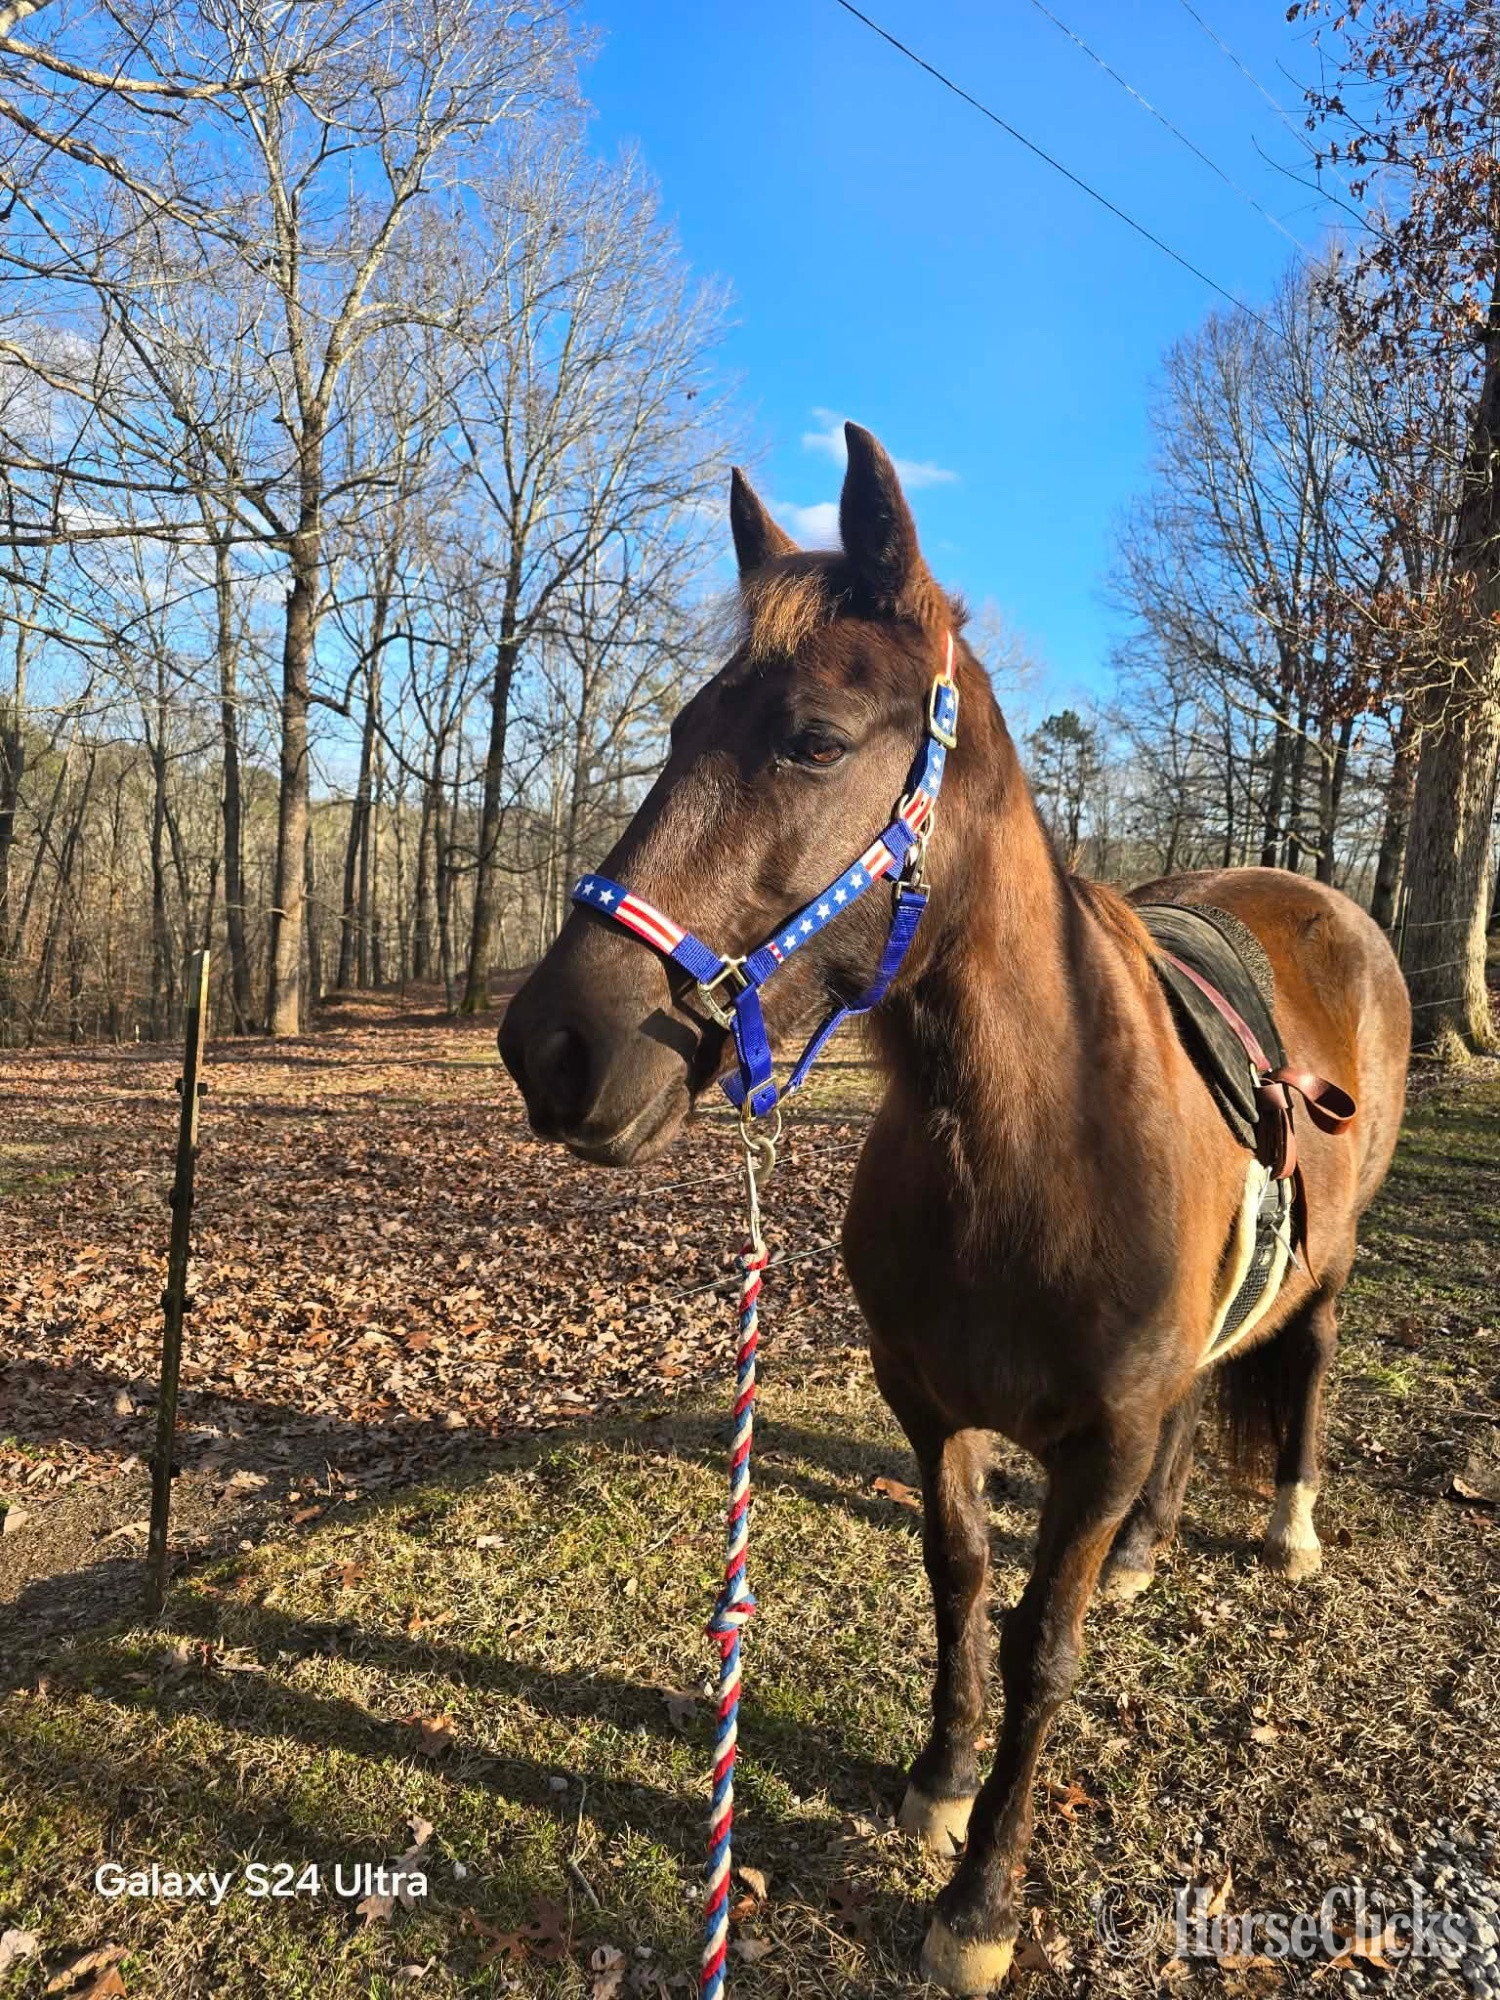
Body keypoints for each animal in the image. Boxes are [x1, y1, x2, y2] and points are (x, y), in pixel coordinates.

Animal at [498, 423, 1411, 1993]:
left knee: (1303, 1364)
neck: (1034, 1146)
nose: (550, 1045)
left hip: (1331, 1270)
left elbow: (1042, 1642)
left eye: (812, 738)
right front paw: (936, 1780)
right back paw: (1151, 1553)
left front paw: (980, 1899)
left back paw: (1285, 1529)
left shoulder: (1095, 1441)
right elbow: (961, 1576)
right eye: (677, 731)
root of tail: (1333, 905)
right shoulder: (930, 1406)